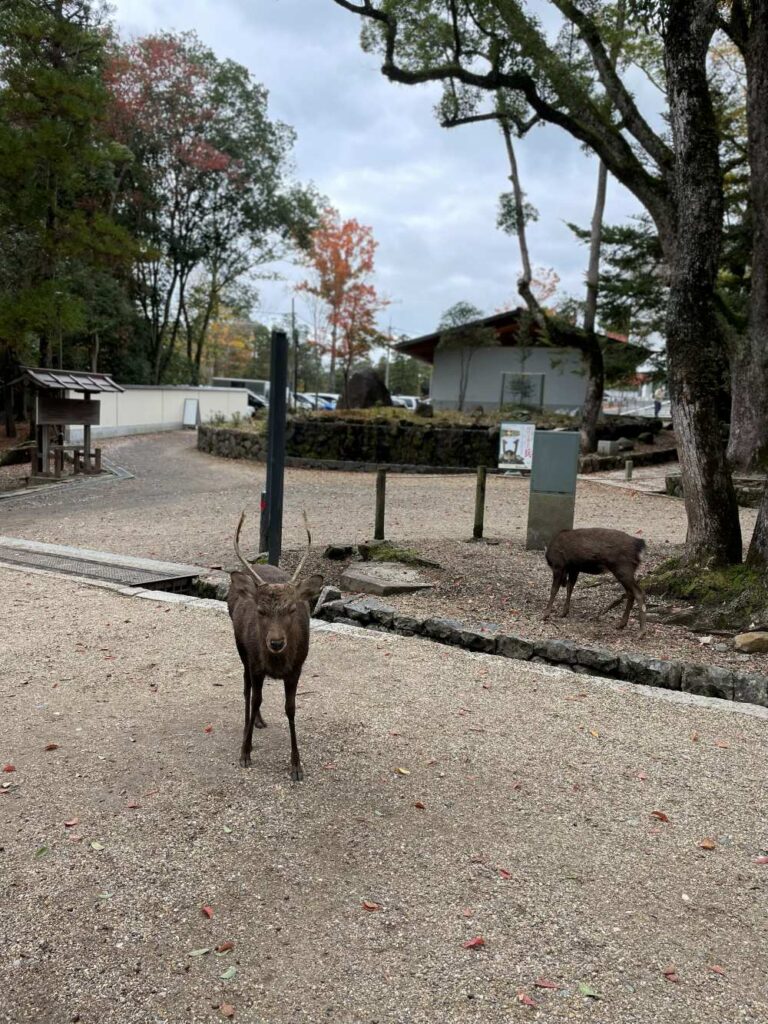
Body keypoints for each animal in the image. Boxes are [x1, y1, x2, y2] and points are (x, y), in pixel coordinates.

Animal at [227, 511, 323, 781]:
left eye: (291, 609)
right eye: (261, 611)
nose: (277, 642)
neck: (277, 664)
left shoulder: (297, 668)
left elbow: (291, 708)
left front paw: (296, 765)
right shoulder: (255, 664)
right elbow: (255, 699)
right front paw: (245, 751)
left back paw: (259, 722)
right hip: (242, 651)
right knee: (247, 690)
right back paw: (249, 726)